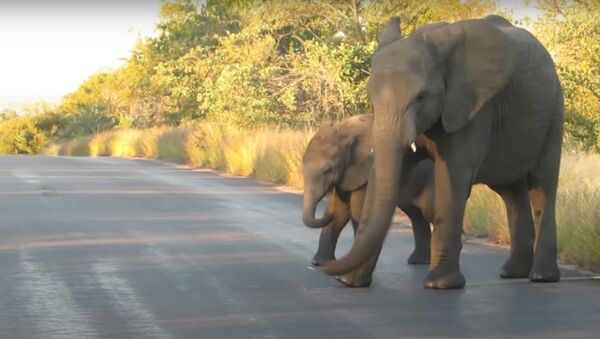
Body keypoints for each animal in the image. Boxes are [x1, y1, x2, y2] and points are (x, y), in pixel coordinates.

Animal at [302, 115, 434, 270]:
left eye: (327, 170)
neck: (345, 131)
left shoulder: (367, 172)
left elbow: (356, 211)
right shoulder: (347, 173)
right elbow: (340, 213)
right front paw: (318, 263)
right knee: (415, 214)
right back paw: (418, 261)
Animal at [324, 15, 564, 290]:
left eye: (421, 97)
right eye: (371, 98)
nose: (322, 266)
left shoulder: (472, 108)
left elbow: (454, 180)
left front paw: (439, 285)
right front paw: (350, 282)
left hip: (554, 112)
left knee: (542, 186)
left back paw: (542, 277)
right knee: (511, 192)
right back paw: (512, 273)